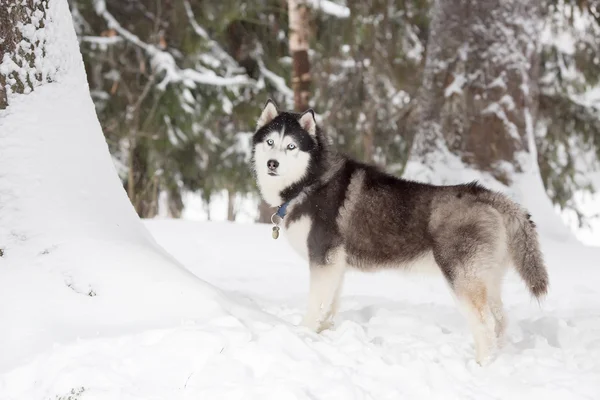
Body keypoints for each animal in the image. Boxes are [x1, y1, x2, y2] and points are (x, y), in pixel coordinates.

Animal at [251, 99, 552, 362]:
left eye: (291, 146)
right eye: (270, 142)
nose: (272, 164)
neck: (308, 182)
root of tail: (488, 195)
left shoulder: (323, 259)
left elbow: (316, 305)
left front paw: (302, 334)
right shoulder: (335, 265)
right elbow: (330, 307)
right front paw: (323, 336)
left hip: (462, 279)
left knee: (485, 325)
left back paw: (481, 365)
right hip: (488, 279)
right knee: (500, 321)